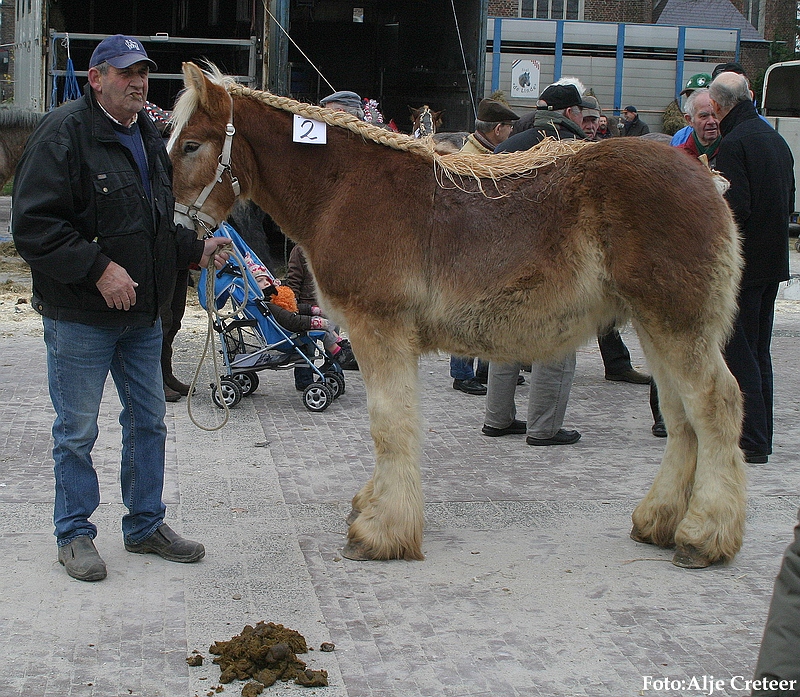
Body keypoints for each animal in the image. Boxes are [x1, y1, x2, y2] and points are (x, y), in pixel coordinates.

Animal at [170, 61, 752, 572]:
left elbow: (390, 423)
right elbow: (393, 423)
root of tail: (705, 176)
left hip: (677, 326)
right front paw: (375, 507)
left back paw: (704, 535)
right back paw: (660, 522)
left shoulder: (379, 328)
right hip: (657, 327)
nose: (177, 233)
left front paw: (382, 532)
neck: (343, 187)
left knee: (715, 407)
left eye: (191, 145)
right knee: (680, 417)